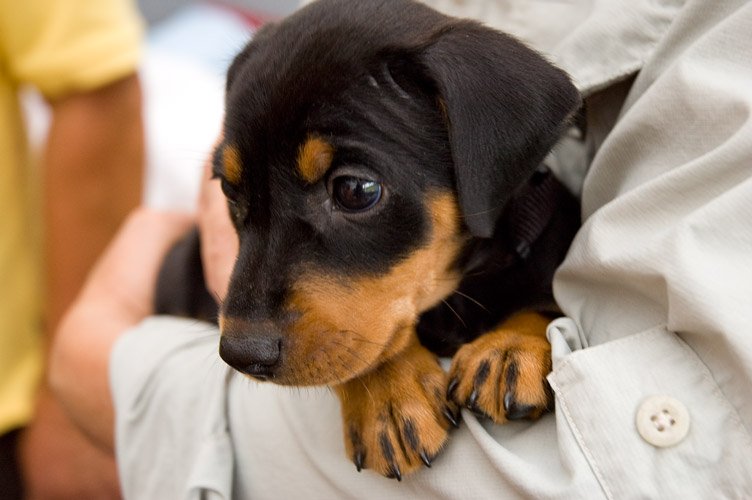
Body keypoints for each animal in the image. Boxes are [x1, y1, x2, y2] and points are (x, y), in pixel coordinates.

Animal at [154, 0, 580, 480]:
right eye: (229, 190)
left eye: (356, 190)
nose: (242, 354)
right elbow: (362, 347)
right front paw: (389, 398)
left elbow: (545, 294)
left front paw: (510, 346)